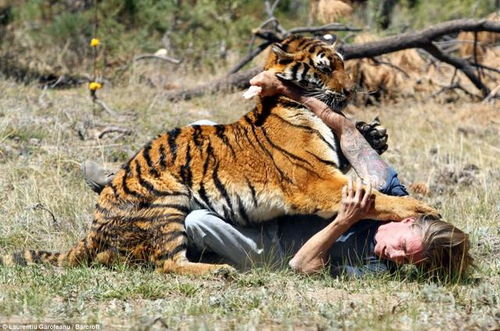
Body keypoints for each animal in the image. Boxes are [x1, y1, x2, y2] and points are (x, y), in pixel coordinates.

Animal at [0, 35, 438, 274]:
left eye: (342, 65)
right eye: (324, 67)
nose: (348, 92)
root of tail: (91, 230)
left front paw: (372, 133)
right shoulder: (319, 183)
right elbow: (379, 199)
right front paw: (423, 208)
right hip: (168, 203)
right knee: (166, 263)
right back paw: (219, 273)